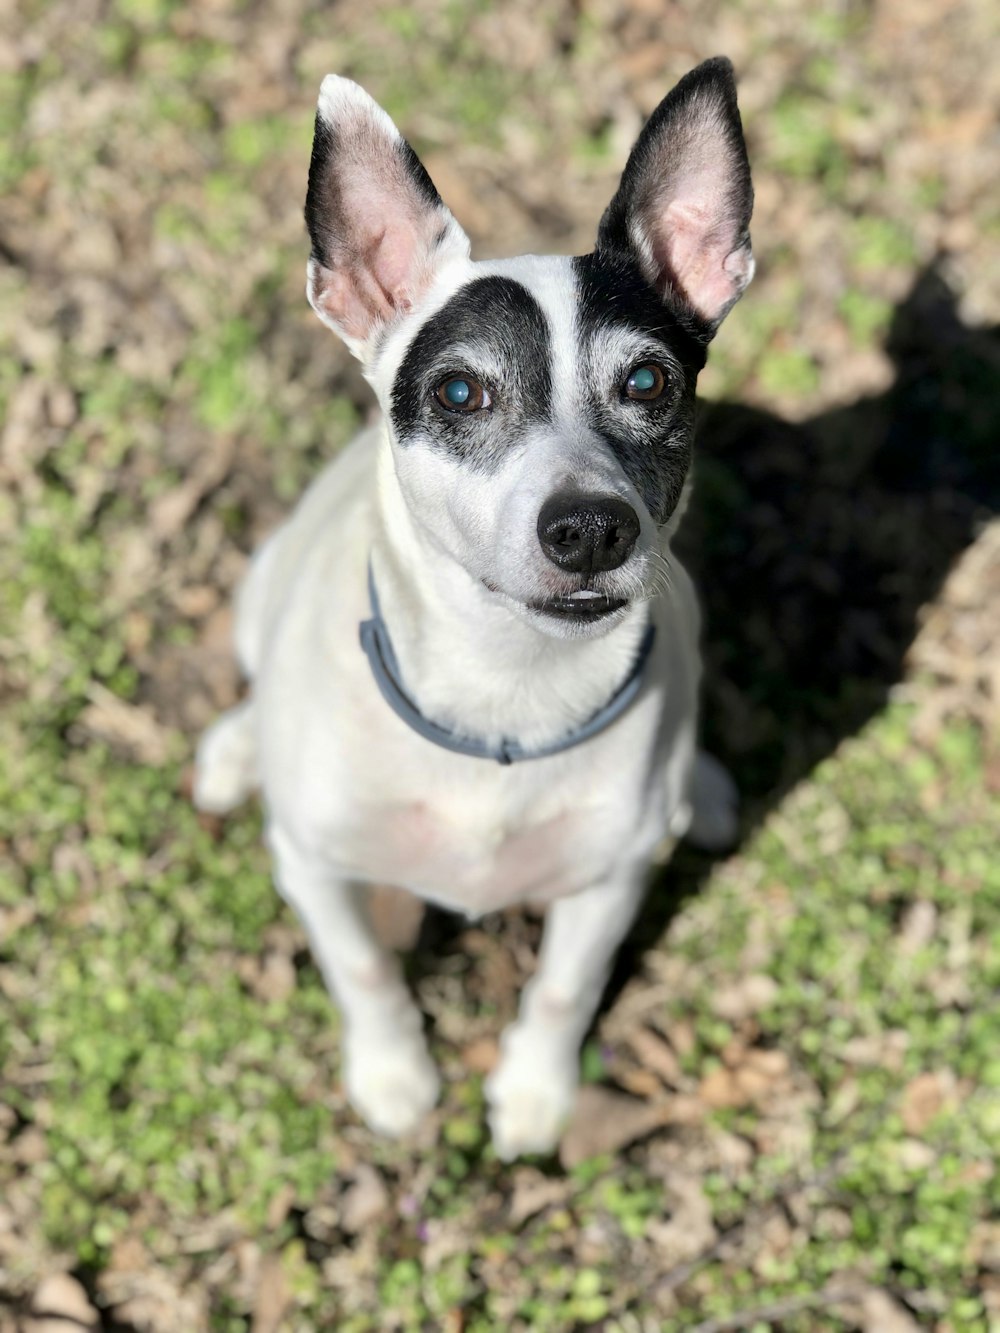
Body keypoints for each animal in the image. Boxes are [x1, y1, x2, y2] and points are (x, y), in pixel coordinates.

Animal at [196, 57, 757, 1162]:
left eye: (648, 380)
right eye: (459, 392)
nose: (590, 527)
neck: (508, 683)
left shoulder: (605, 886)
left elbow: (565, 988)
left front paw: (536, 1094)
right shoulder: (316, 867)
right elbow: (364, 968)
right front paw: (394, 1078)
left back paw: (704, 789)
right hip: (255, 585)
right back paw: (237, 750)